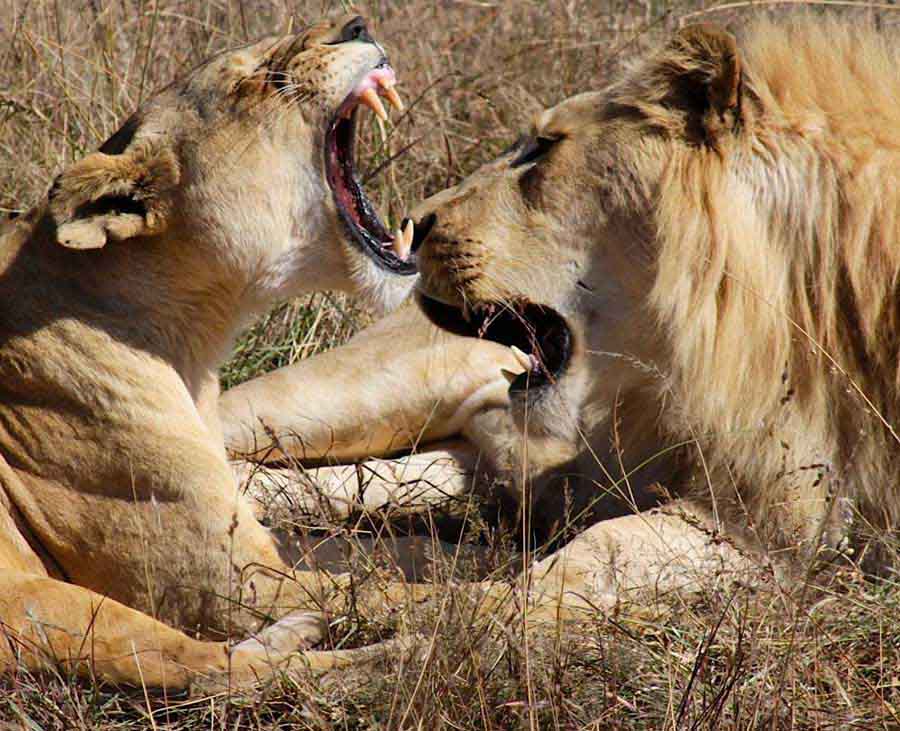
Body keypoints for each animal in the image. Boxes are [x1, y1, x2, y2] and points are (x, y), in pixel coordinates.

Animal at [0, 14, 523, 694]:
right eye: (255, 79)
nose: (358, 23)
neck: (194, 336)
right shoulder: (221, 585)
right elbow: (395, 592)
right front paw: (539, 601)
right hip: (35, 601)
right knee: (217, 673)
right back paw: (391, 653)